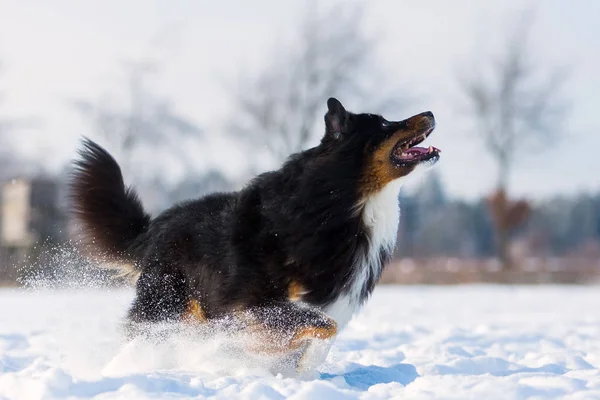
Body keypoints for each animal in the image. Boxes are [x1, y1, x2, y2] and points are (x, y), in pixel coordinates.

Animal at [69, 97, 440, 372]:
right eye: (384, 125)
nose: (431, 112)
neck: (343, 200)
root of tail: (154, 225)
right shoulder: (253, 303)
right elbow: (320, 326)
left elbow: (319, 340)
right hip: (166, 304)